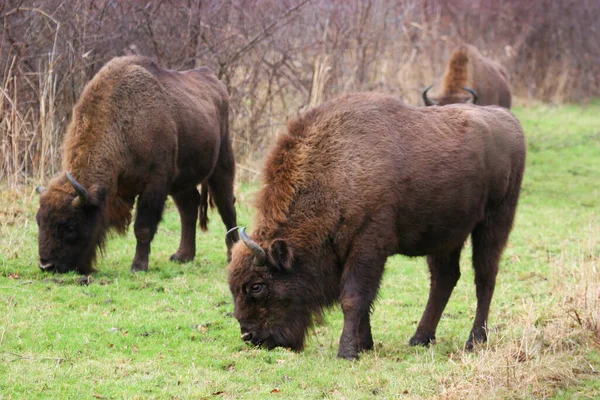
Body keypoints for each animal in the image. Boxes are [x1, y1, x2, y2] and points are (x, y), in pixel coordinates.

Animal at [35, 56, 239, 274]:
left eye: (70, 225)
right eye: (39, 220)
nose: (46, 265)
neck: (121, 125)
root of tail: (214, 81)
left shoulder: (155, 185)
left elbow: (143, 228)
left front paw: (138, 266)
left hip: (222, 165)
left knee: (227, 208)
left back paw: (231, 254)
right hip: (181, 181)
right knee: (189, 208)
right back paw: (182, 256)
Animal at [227, 92, 524, 360]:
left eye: (257, 286)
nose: (249, 336)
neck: (335, 171)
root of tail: (509, 120)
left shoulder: (367, 246)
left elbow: (353, 298)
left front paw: (347, 352)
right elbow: (365, 300)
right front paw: (365, 345)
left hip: (494, 222)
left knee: (484, 277)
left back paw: (475, 340)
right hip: (446, 235)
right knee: (445, 278)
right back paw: (420, 338)